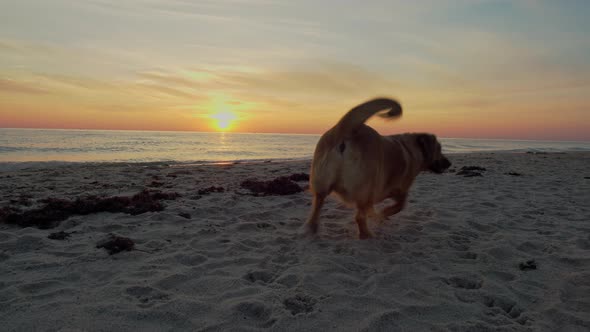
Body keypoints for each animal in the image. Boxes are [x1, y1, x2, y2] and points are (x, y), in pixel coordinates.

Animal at [306, 96, 454, 239]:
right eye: (439, 149)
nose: (449, 163)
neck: (412, 150)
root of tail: (346, 130)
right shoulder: (398, 190)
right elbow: (400, 205)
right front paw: (384, 214)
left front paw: (377, 215)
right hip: (365, 190)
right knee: (359, 217)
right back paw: (366, 235)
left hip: (322, 187)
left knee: (316, 208)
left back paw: (312, 229)